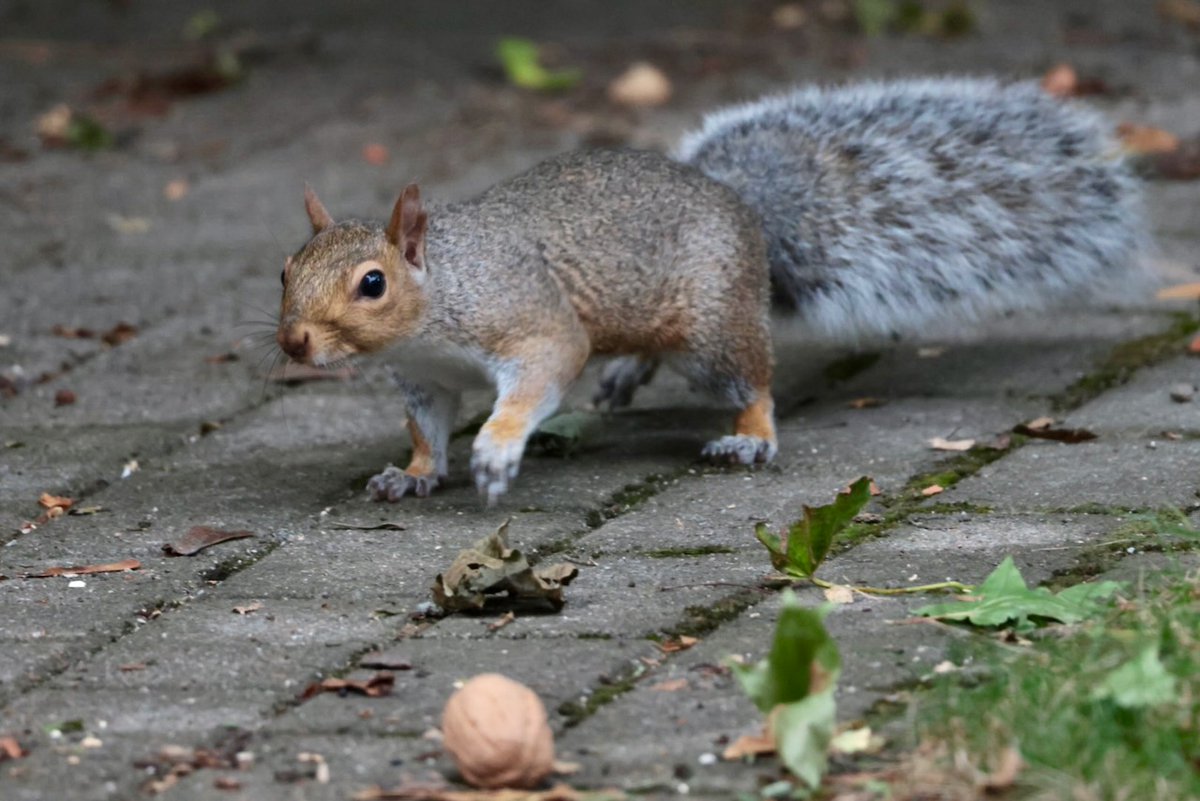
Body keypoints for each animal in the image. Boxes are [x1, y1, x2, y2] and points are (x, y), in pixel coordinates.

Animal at [276, 77, 1146, 505]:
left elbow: (542, 375)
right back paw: (628, 374)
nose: (293, 342)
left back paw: (749, 435)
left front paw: (494, 450)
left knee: (751, 382)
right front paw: (415, 472)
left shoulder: (528, 320)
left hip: (712, 332)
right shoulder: (424, 379)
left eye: (372, 283)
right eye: (286, 271)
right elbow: (426, 429)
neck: (437, 300)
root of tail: (744, 210)